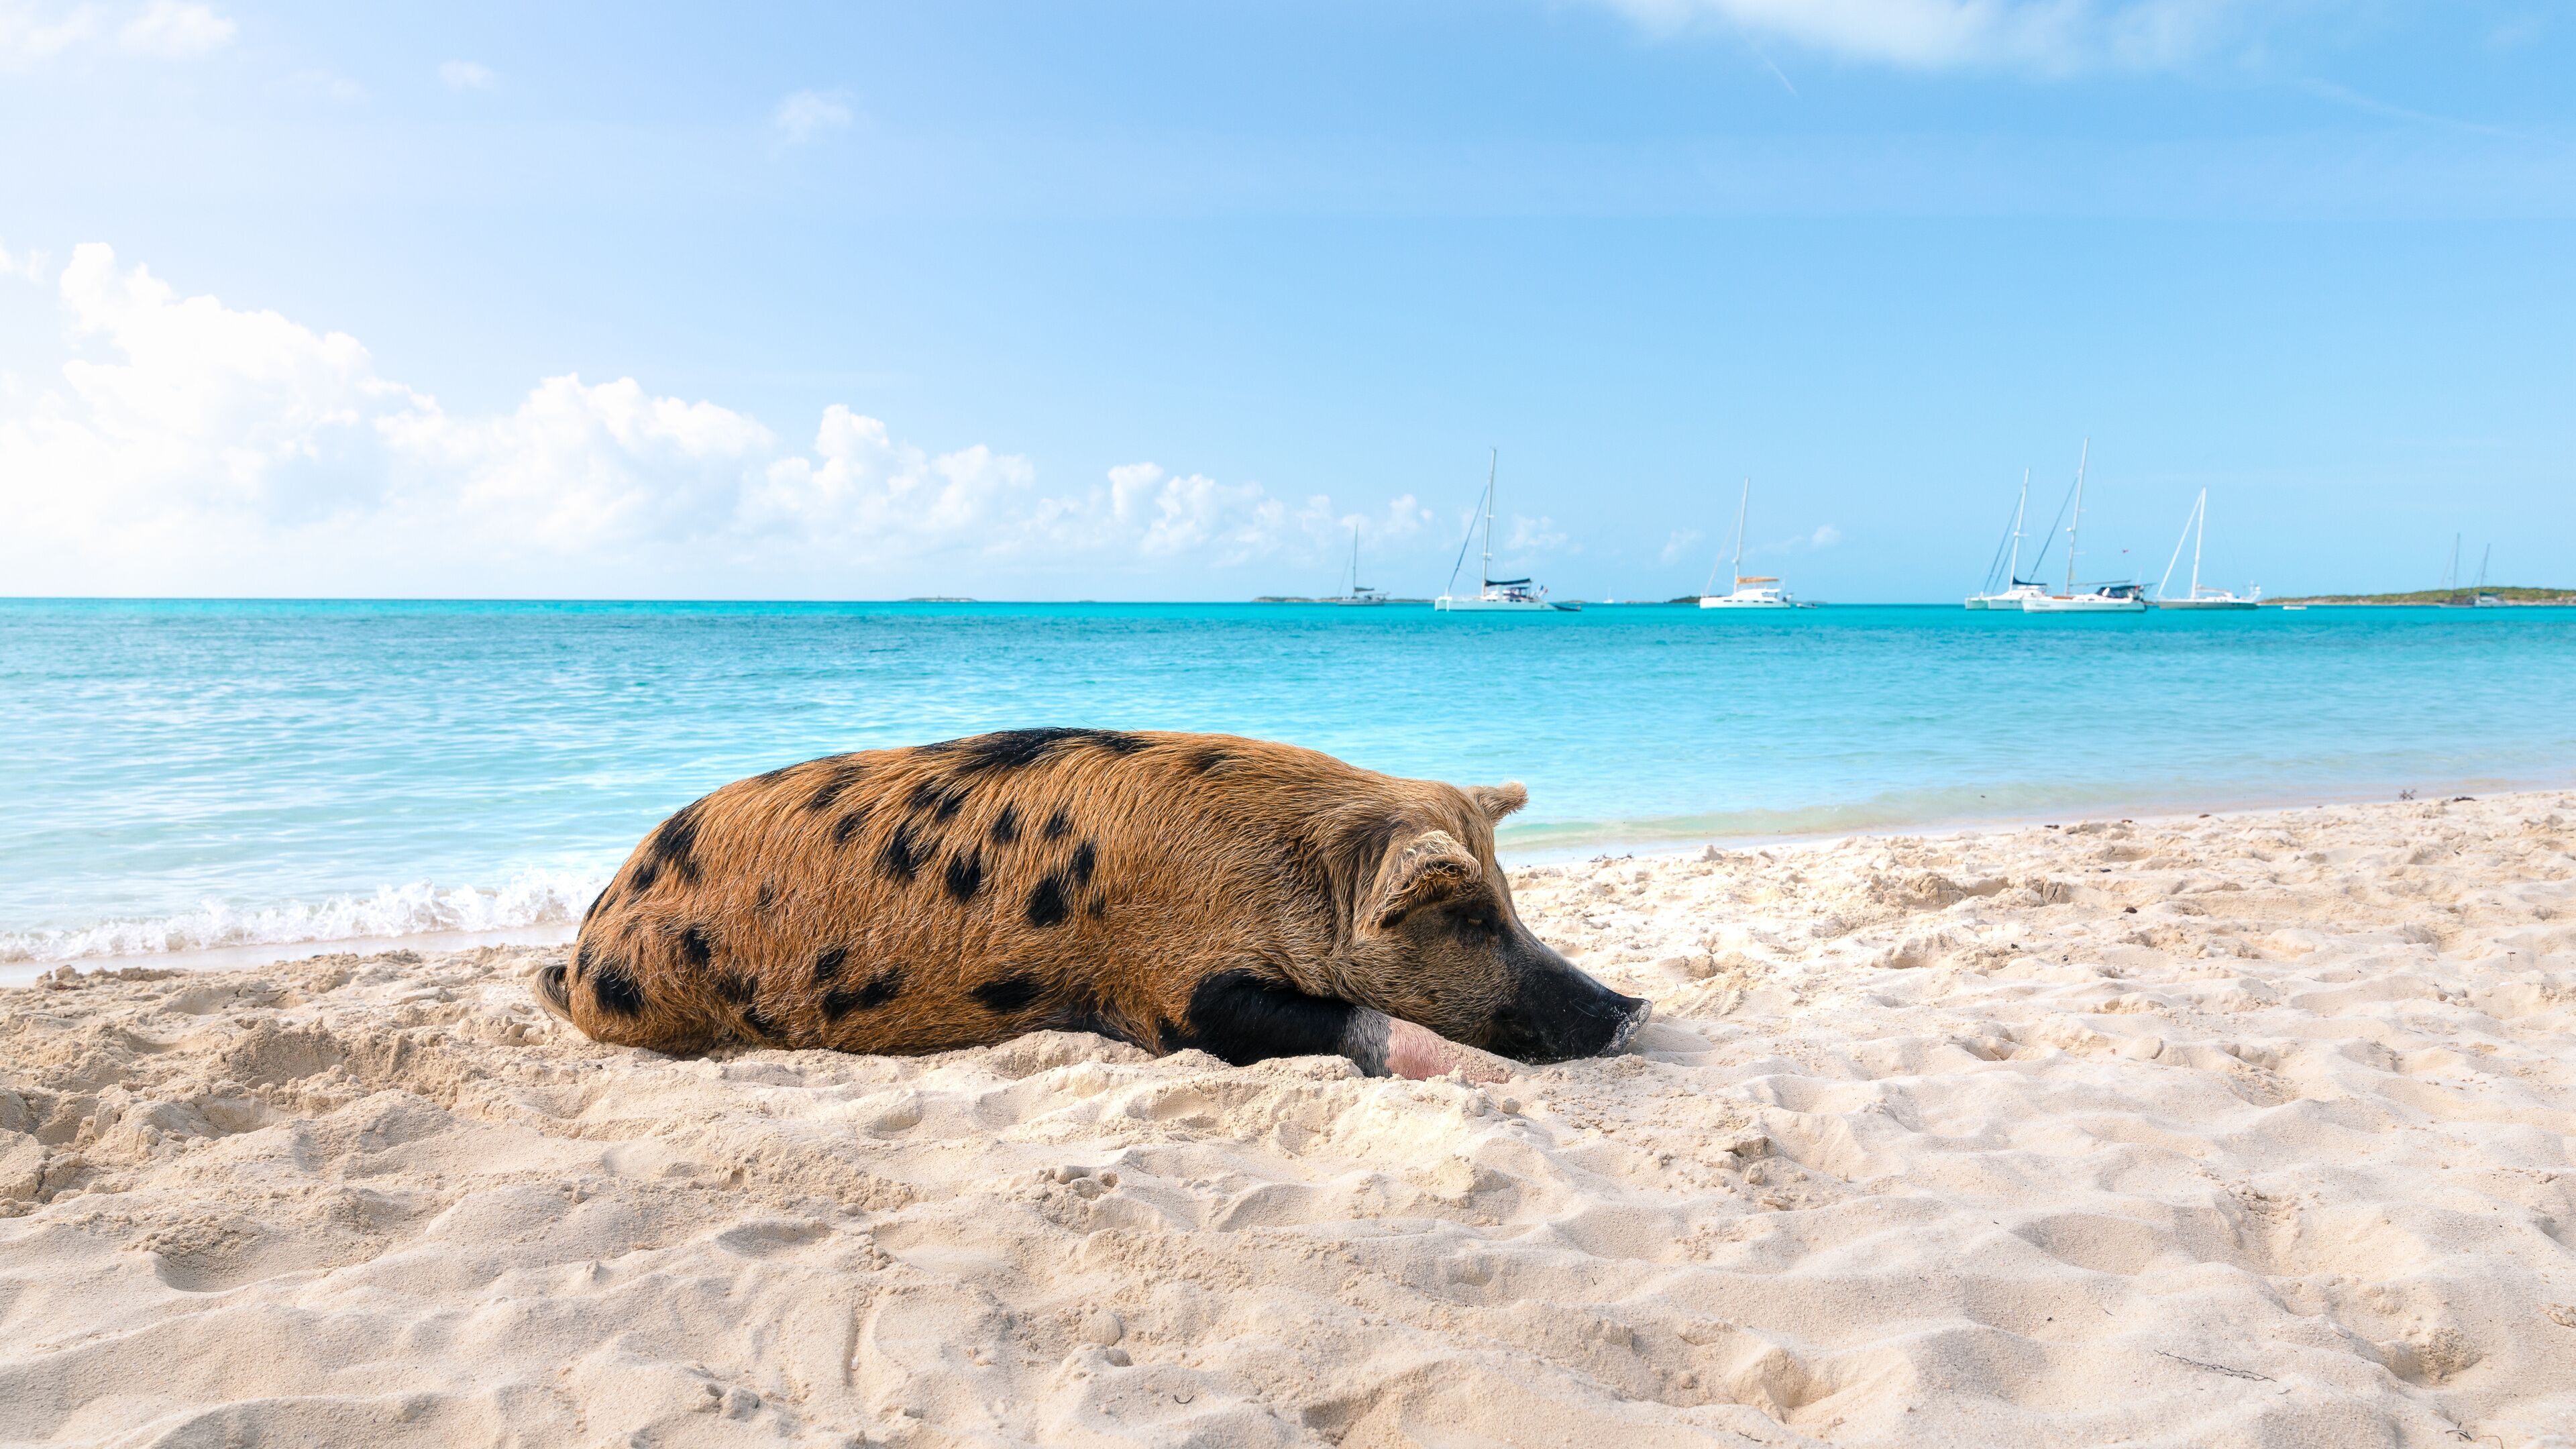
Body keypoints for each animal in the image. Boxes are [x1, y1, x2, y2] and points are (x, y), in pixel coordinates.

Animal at [536, 729, 1647, 1079]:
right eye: (1469, 917)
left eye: (1511, 901)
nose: (1632, 1009)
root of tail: (585, 933)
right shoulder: (1170, 988)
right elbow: (1342, 1020)